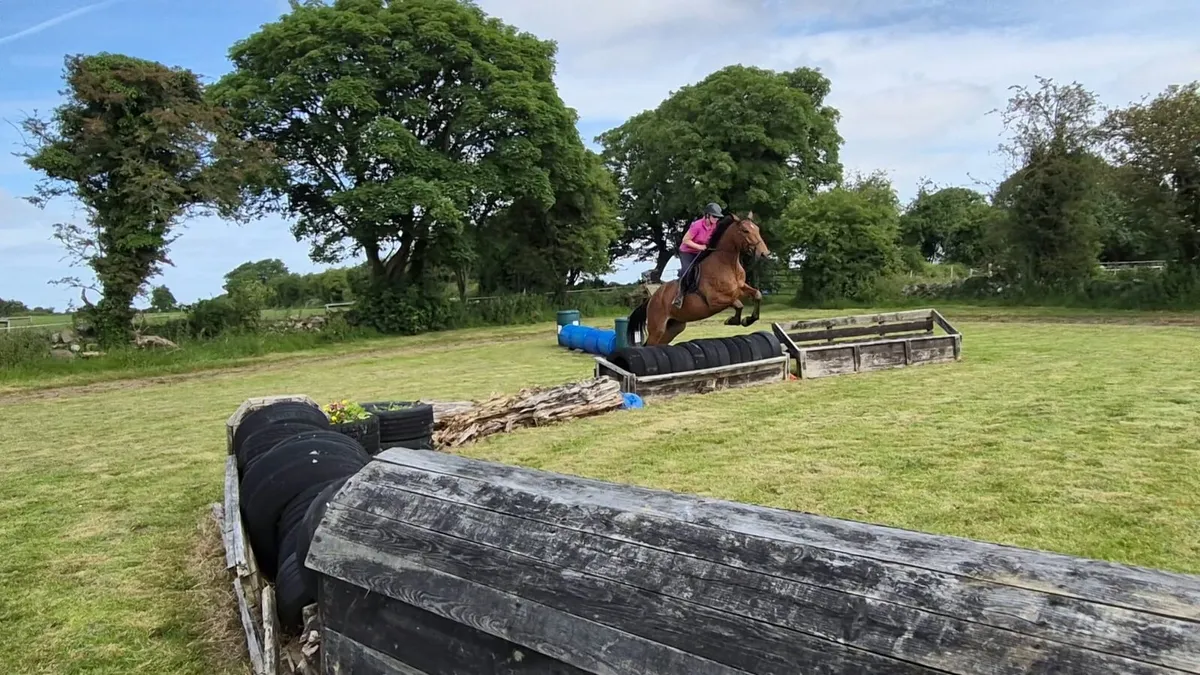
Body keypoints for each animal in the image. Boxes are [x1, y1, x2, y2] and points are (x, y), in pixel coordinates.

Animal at [626, 212, 771, 346]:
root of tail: (651, 299)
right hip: (658, 328)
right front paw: (732, 320)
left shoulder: (740, 288)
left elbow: (757, 294)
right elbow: (738, 304)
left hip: (673, 328)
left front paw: (748, 320)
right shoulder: (715, 300)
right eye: (745, 231)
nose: (765, 254)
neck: (728, 265)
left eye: (757, 229)